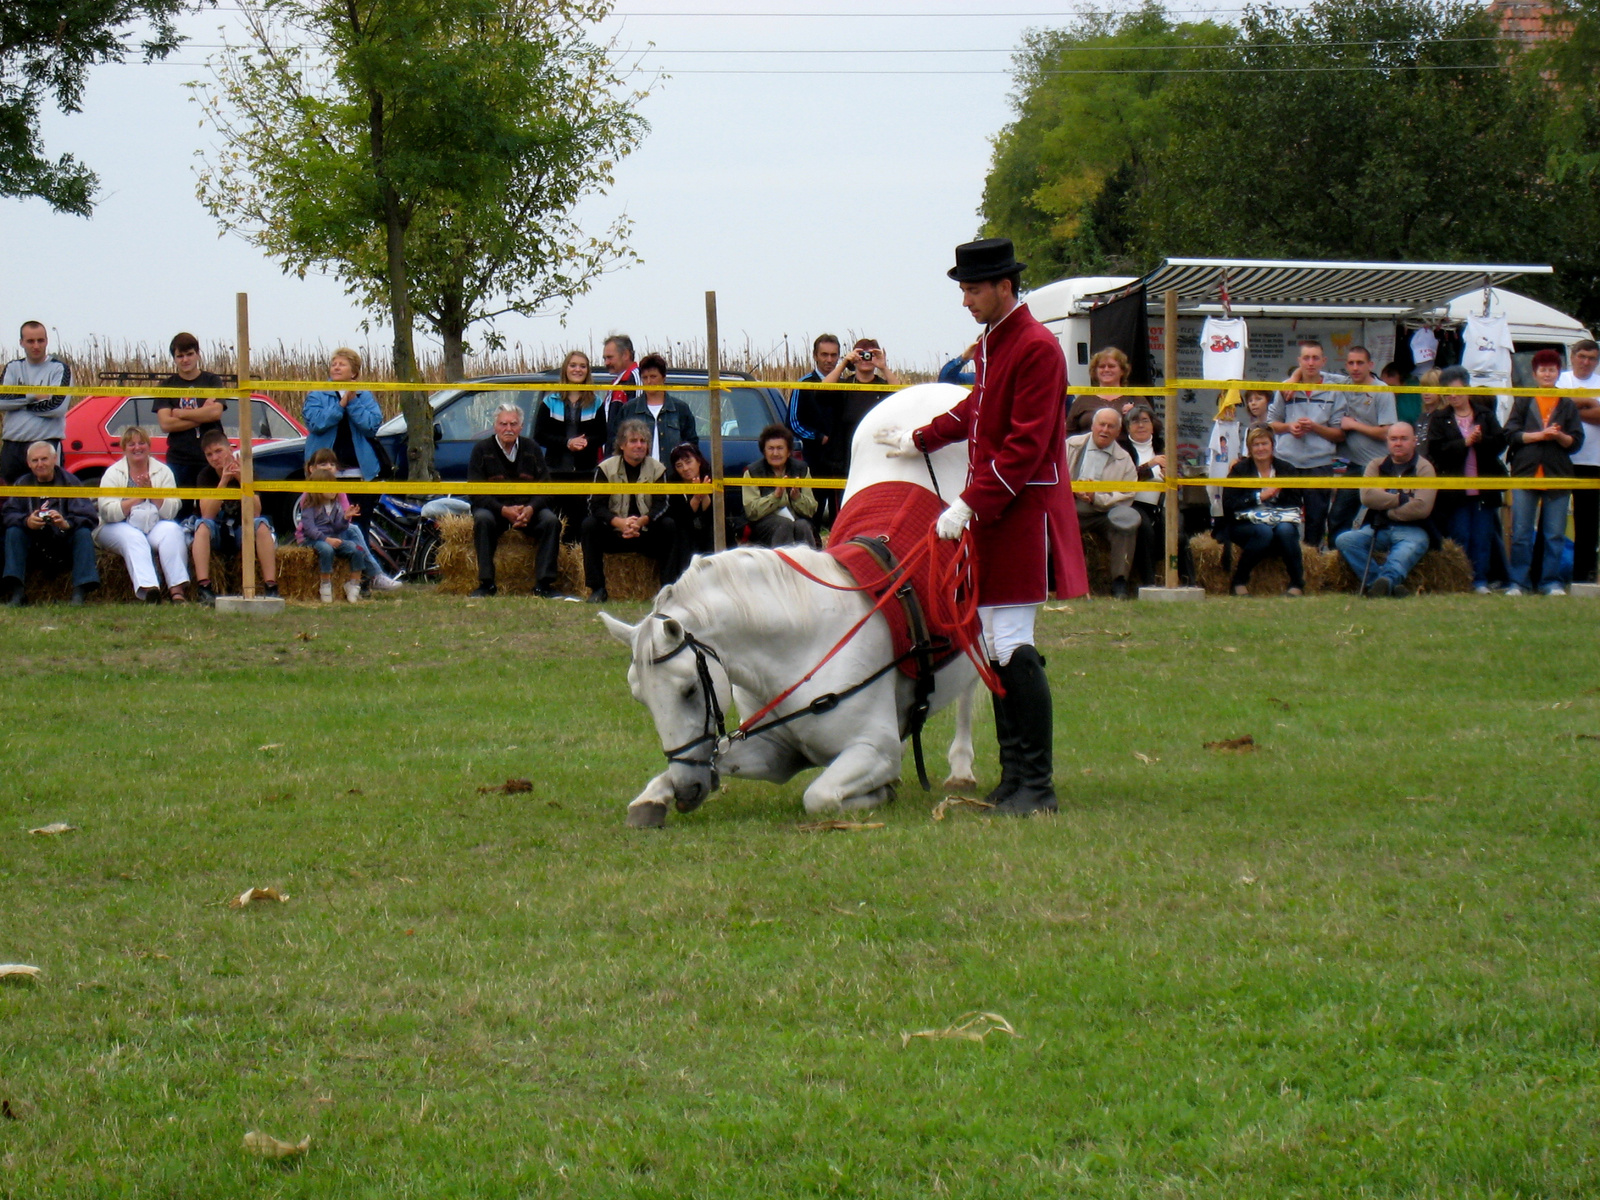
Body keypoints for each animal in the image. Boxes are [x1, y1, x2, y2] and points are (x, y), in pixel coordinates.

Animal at [598, 382, 979, 825]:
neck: (804, 652)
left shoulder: (872, 750)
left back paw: (962, 769)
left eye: (690, 691)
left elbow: (820, 796)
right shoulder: (774, 750)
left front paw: (881, 793)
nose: (687, 790)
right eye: (640, 696)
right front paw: (652, 798)